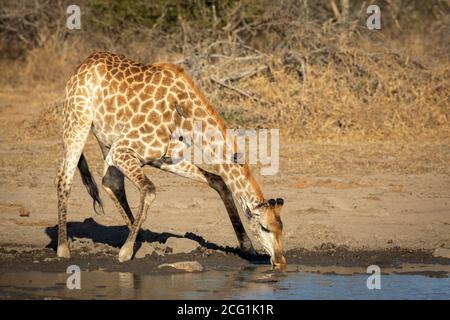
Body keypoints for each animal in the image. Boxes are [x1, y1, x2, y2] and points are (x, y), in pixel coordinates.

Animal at [53, 52, 284, 266]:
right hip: (78, 121)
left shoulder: (165, 157)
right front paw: (126, 252)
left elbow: (219, 181)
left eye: (281, 227)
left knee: (111, 182)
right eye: (264, 227)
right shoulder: (122, 149)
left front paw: (247, 246)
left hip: (106, 140)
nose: (280, 260)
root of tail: (83, 65)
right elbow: (149, 189)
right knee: (64, 178)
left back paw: (141, 239)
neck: (186, 116)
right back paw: (63, 249)